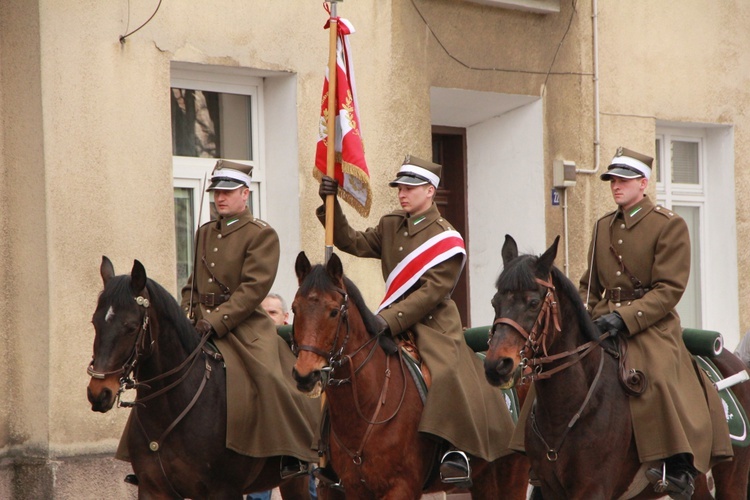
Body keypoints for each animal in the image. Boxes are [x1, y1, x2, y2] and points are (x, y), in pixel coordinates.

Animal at [290, 252, 532, 500]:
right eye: (295, 309)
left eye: (334, 312)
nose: (305, 375)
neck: (367, 405)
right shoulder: (354, 488)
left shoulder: (401, 487)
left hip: (513, 472)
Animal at [484, 236, 750, 498]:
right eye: (495, 301)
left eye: (533, 302)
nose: (496, 364)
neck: (570, 405)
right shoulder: (551, 489)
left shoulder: (593, 488)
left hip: (732, 482)